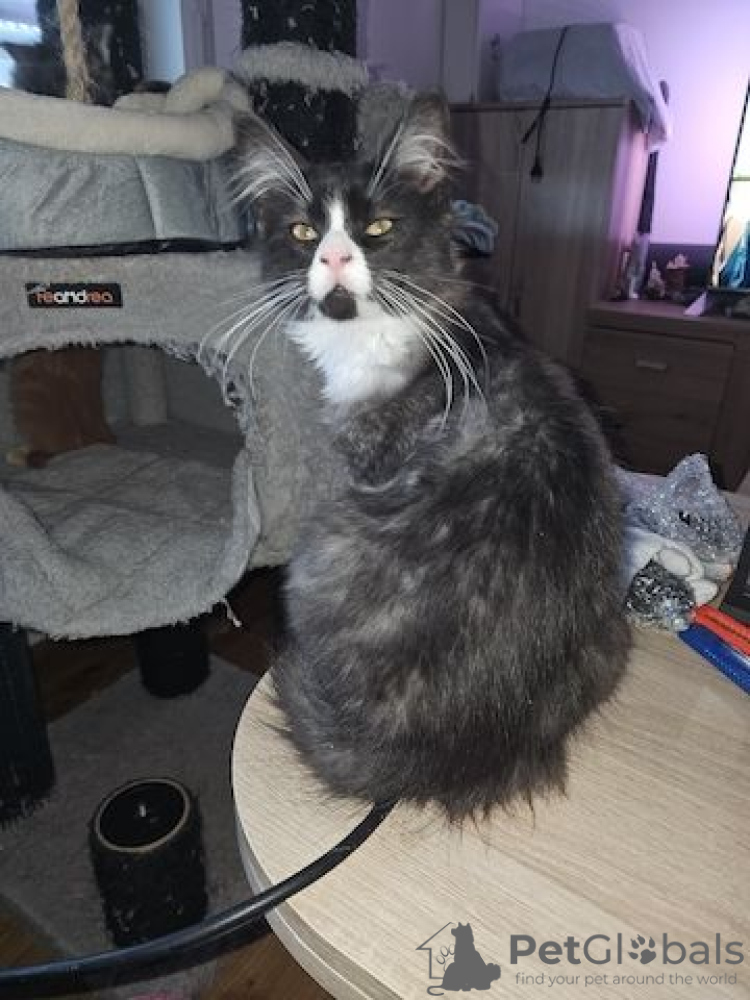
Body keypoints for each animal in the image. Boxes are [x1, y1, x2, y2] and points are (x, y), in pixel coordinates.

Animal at [233, 95, 630, 819]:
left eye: (378, 227)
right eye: (304, 232)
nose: (335, 258)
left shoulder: (367, 451)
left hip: (318, 547)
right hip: (610, 642)